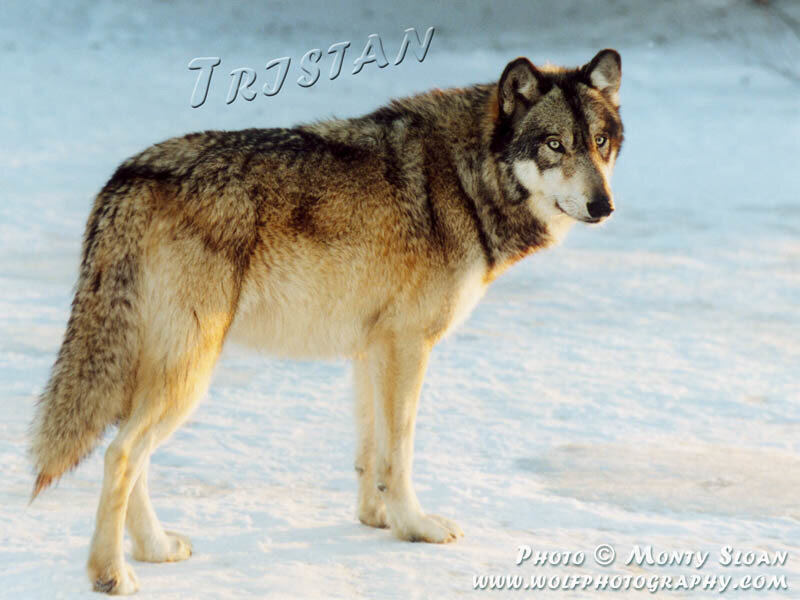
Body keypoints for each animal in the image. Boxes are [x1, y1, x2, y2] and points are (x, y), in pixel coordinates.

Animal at [29, 49, 622, 594]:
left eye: (599, 142)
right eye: (555, 145)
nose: (604, 207)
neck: (463, 177)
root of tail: (127, 177)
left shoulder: (371, 349)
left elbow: (371, 451)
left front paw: (377, 520)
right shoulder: (409, 346)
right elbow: (400, 451)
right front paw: (415, 527)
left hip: (165, 373)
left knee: (133, 455)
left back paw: (155, 548)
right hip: (188, 376)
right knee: (121, 454)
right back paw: (111, 574)